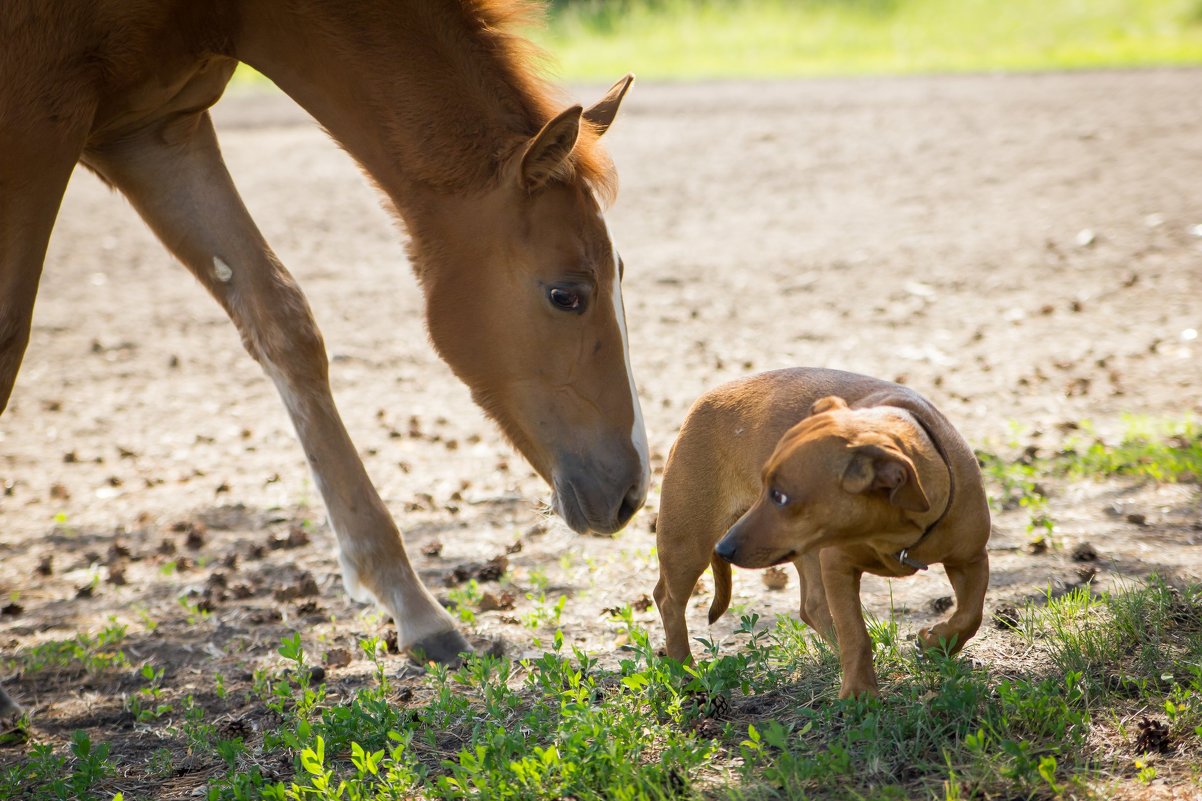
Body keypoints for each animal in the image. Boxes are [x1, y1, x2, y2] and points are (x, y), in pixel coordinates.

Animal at [0, 0, 649, 678]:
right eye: (566, 294)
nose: (632, 492)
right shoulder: (35, 128)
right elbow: (8, 340)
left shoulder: (152, 131)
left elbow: (282, 323)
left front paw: (415, 608)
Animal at [653, 365, 990, 697]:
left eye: (780, 496)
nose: (724, 548)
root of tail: (704, 400)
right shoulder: (838, 567)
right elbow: (855, 632)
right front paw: (859, 692)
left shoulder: (971, 560)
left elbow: (971, 614)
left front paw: (936, 643)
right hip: (687, 544)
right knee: (668, 601)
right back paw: (685, 671)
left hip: (799, 551)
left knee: (812, 606)